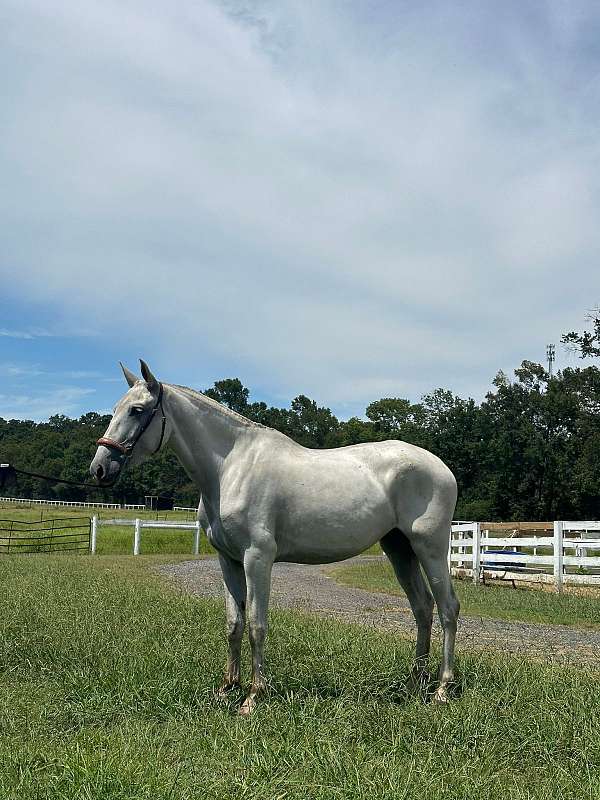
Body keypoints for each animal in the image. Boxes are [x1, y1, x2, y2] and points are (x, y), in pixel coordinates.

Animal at [90, 362, 460, 712]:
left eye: (137, 410)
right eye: (116, 408)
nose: (99, 468)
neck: (230, 468)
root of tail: (441, 467)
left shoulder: (258, 558)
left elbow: (257, 624)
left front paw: (254, 696)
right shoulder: (227, 560)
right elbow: (233, 623)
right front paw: (227, 688)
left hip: (430, 548)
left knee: (448, 608)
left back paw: (442, 689)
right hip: (399, 549)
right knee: (422, 608)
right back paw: (414, 684)